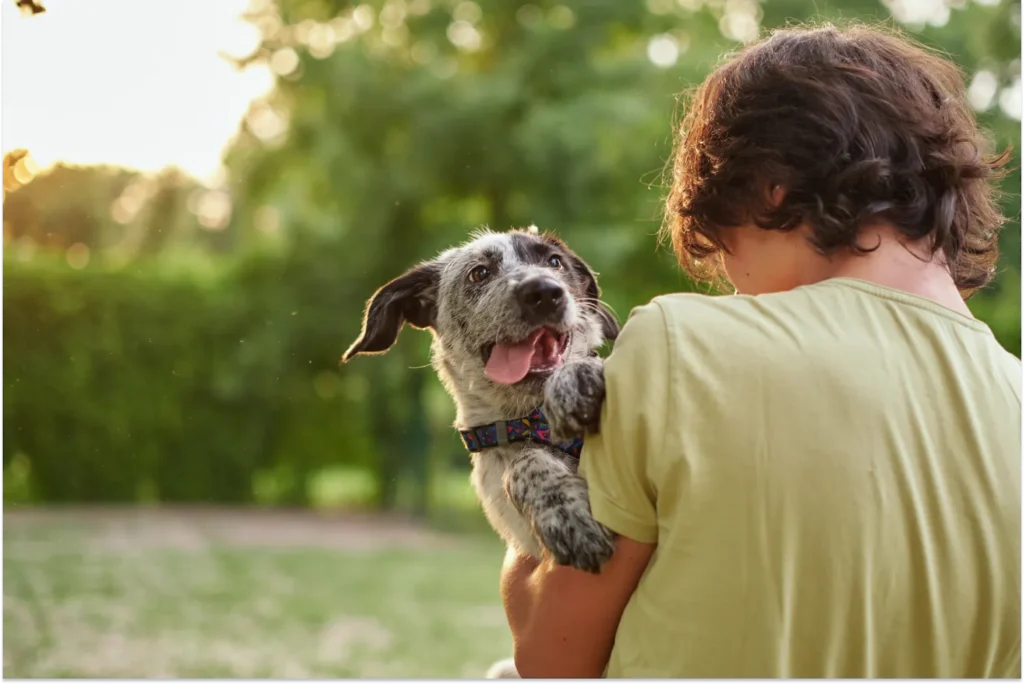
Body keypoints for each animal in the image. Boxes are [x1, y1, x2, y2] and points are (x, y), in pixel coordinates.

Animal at [342, 227, 614, 573]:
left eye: (555, 262)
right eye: (479, 273)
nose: (543, 292)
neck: (532, 421)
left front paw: (574, 379)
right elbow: (526, 462)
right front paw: (566, 514)